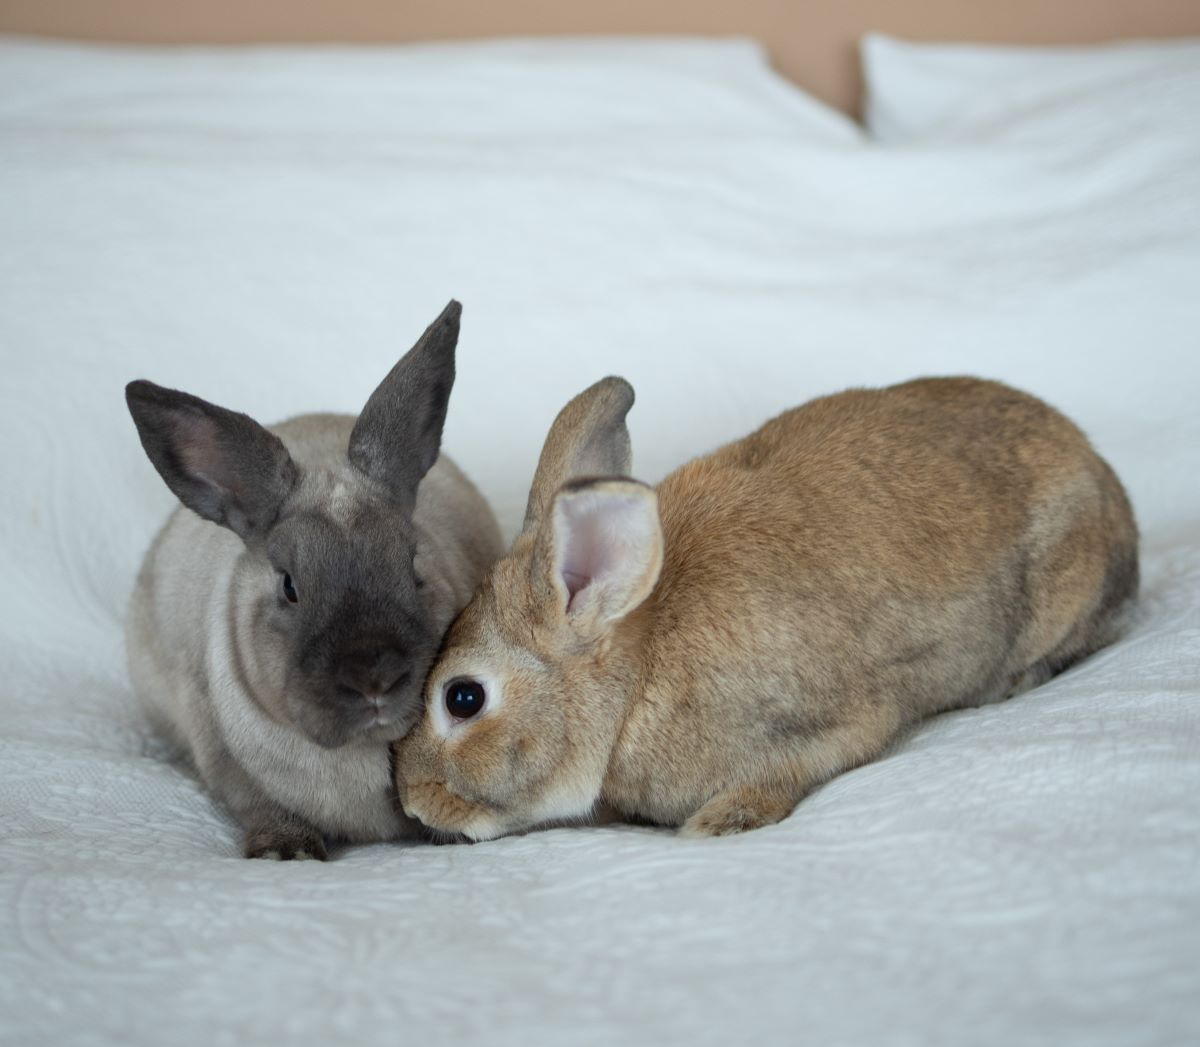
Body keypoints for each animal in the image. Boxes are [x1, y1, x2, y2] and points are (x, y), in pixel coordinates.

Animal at [121, 302, 496, 859]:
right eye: (289, 586)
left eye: (413, 566)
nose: (375, 678)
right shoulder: (226, 763)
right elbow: (260, 805)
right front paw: (286, 850)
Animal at [398, 372, 1137, 840]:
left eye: (463, 698)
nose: (410, 801)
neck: (635, 679)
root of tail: (1107, 480)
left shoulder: (832, 722)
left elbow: (794, 768)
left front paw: (721, 822)